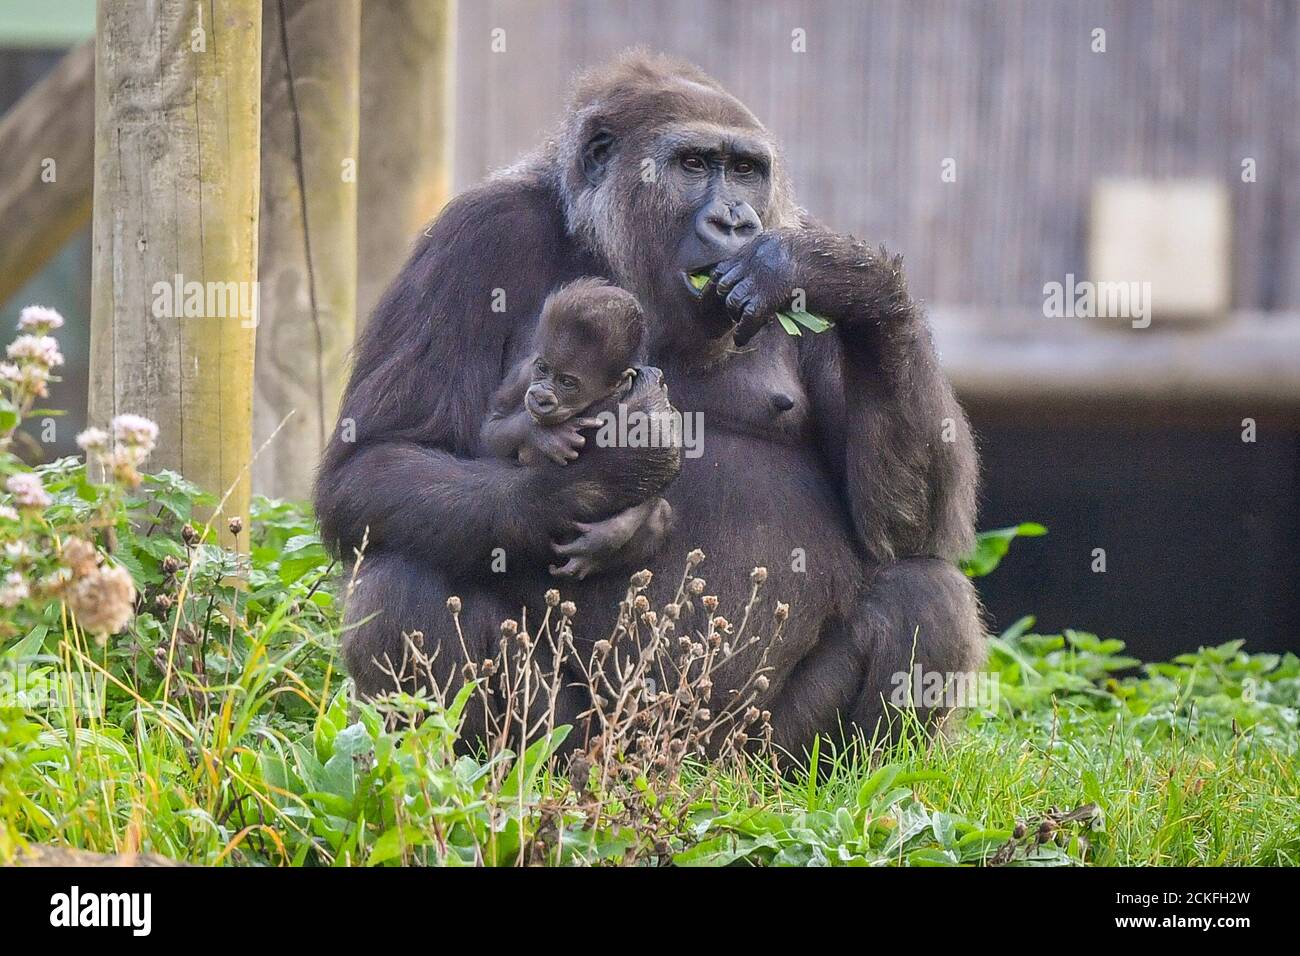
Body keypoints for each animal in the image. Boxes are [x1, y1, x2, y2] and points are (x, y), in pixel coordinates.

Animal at [483, 277, 644, 468]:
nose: (540, 396)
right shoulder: (523, 375)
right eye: (542, 368)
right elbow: (493, 427)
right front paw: (546, 435)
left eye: (567, 382)